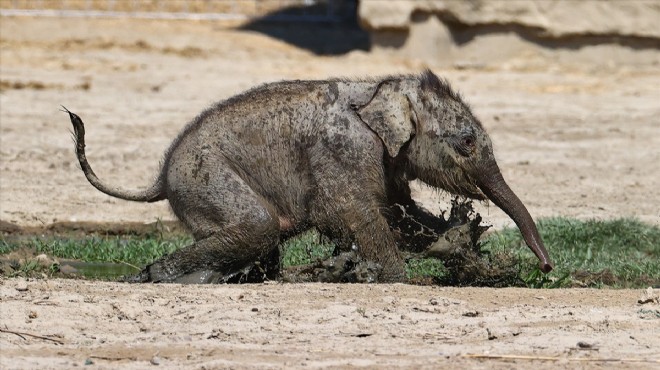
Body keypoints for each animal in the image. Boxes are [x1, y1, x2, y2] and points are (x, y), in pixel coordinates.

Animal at [65, 70, 552, 284]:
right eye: (467, 142)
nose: (547, 267)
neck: (384, 87)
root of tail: (161, 176)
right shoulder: (342, 149)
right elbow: (351, 211)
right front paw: (397, 277)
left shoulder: (385, 159)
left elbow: (398, 210)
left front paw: (458, 242)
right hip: (205, 178)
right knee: (257, 226)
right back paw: (157, 277)